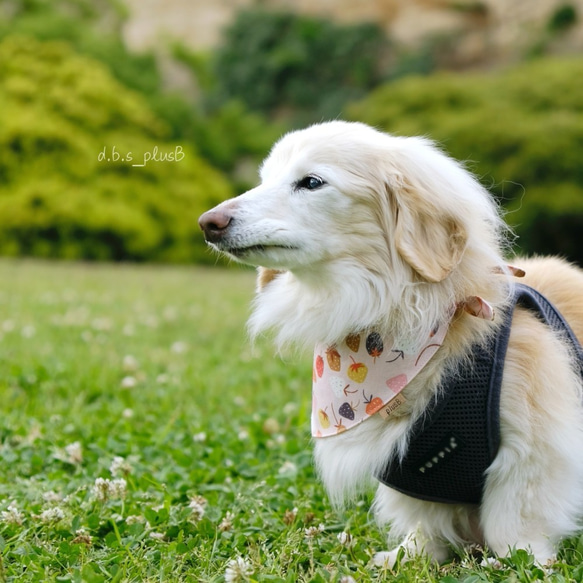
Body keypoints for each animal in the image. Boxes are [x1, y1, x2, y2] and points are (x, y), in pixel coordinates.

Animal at [198, 122, 583, 564]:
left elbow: (515, 520)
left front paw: (518, 561)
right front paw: (408, 555)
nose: (207, 223)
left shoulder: (532, 451)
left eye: (311, 182)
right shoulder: (409, 468)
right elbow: (425, 522)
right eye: (264, 180)